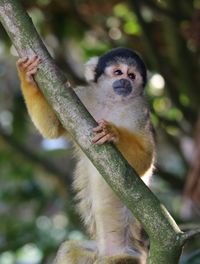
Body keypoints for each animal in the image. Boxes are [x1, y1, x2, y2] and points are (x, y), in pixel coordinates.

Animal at [16, 48, 155, 264]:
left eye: (132, 75)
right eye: (118, 72)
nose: (125, 82)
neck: (112, 103)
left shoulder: (141, 113)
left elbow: (146, 161)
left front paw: (113, 133)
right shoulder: (82, 98)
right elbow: (52, 129)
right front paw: (27, 76)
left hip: (130, 258)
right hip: (96, 251)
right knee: (68, 250)